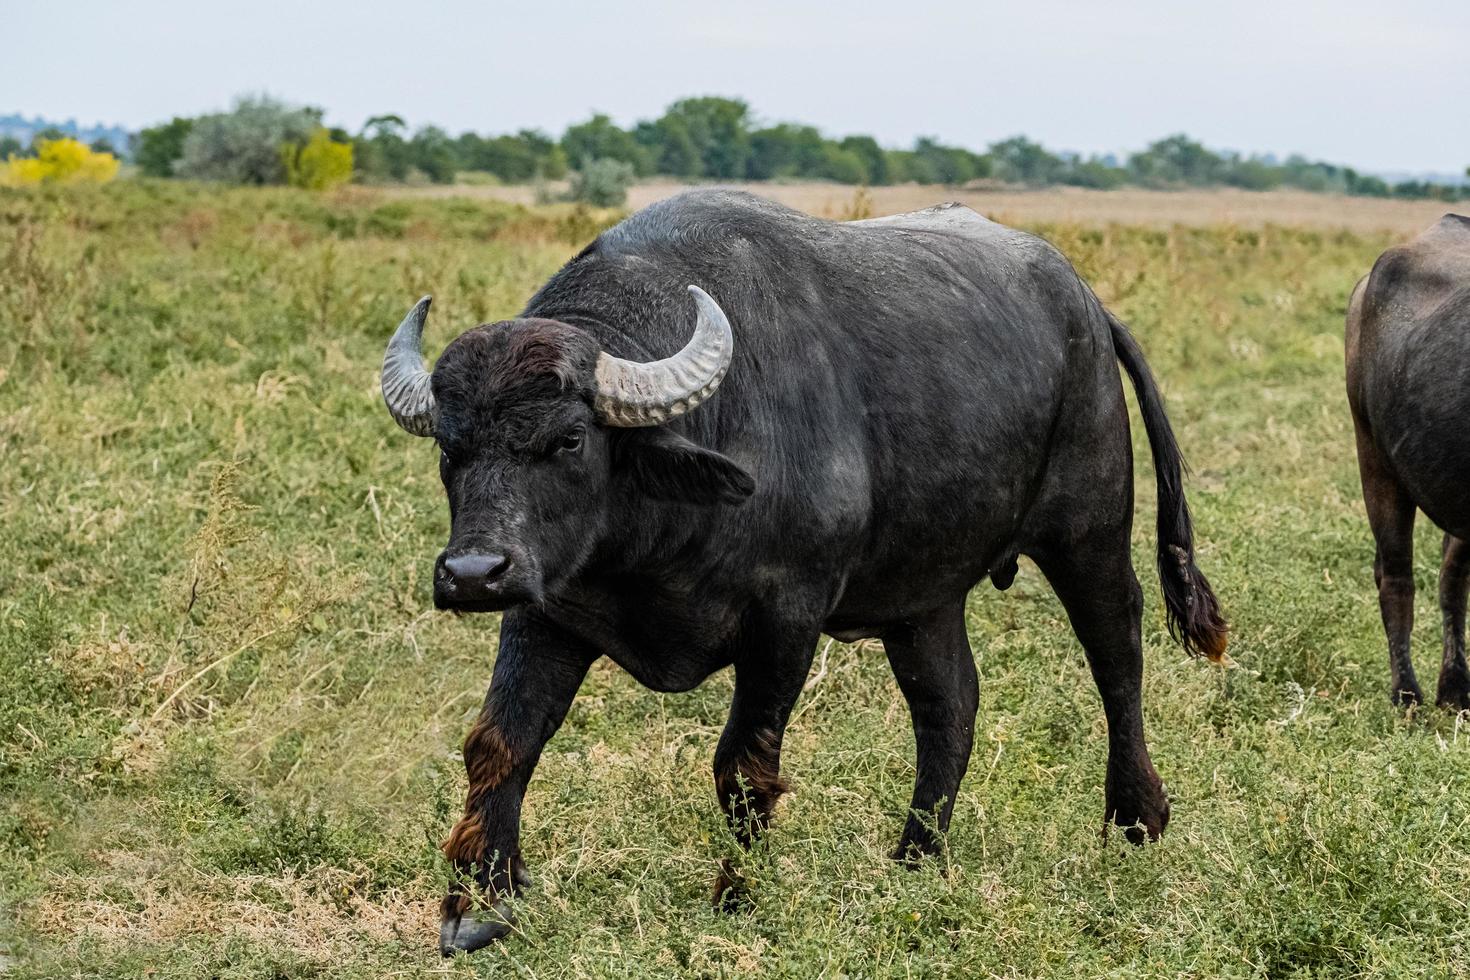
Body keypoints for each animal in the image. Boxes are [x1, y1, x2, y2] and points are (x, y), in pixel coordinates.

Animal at [379, 188, 1228, 952]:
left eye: (568, 440)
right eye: (451, 447)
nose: (472, 573)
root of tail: (1084, 304)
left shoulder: (787, 614)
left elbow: (743, 767)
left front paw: (736, 895)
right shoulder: (546, 609)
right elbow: (501, 741)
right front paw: (480, 904)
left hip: (1089, 531)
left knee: (1117, 649)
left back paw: (1136, 818)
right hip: (923, 597)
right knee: (950, 706)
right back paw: (915, 859)